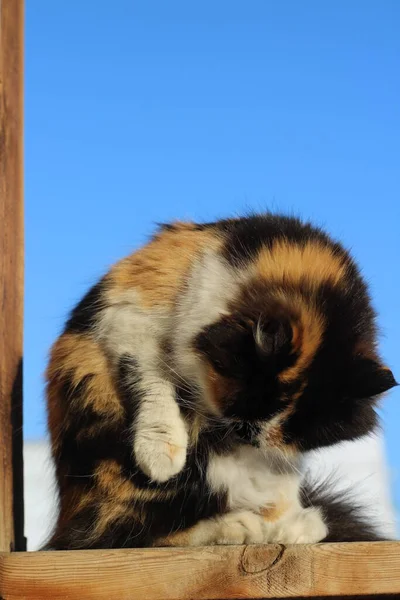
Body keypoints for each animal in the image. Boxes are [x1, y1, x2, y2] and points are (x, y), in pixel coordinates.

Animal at [44, 213, 396, 552]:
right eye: (242, 406)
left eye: (279, 432)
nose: (245, 435)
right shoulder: (129, 315)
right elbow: (150, 380)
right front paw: (162, 454)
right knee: (122, 534)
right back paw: (242, 526)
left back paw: (294, 525)